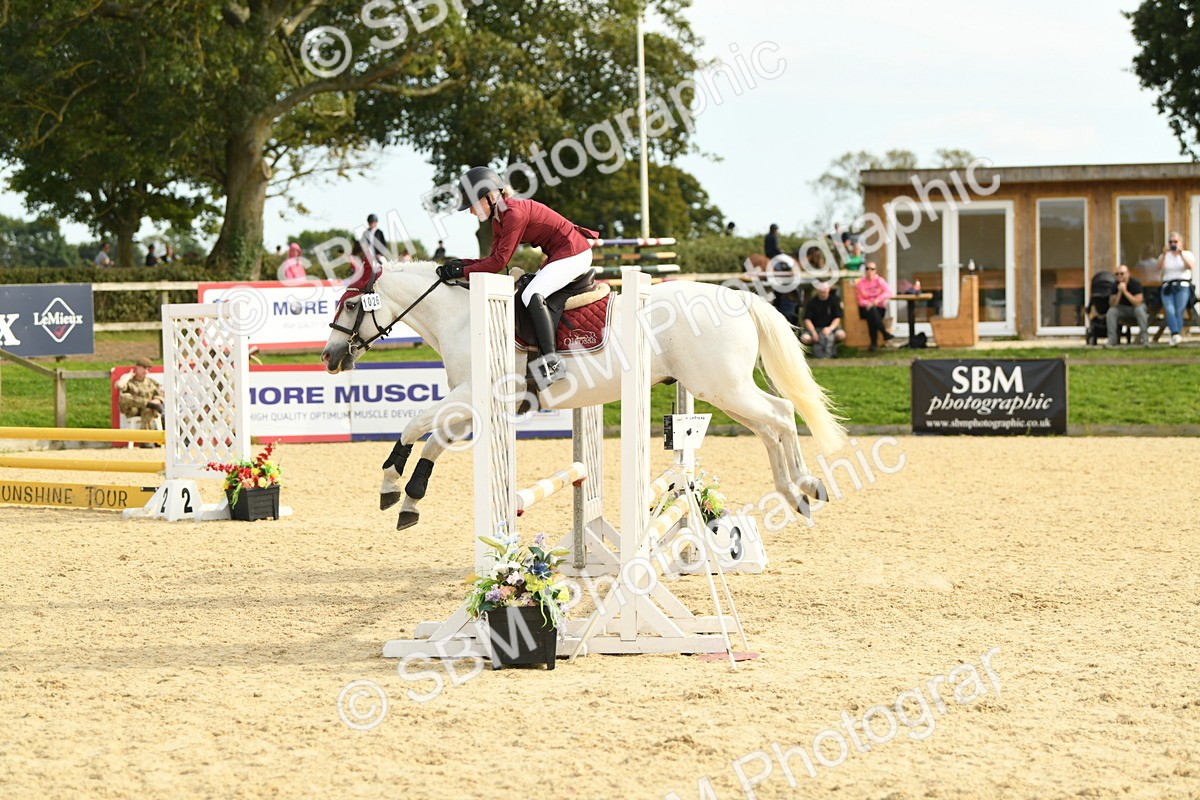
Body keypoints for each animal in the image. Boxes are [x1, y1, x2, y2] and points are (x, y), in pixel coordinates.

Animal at [321, 261, 846, 530]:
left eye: (349, 304)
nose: (329, 357)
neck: (463, 318)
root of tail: (738, 296)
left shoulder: (473, 395)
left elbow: (413, 426)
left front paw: (391, 486)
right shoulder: (472, 405)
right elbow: (433, 440)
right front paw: (410, 500)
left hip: (721, 386)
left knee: (781, 414)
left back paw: (804, 487)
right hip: (722, 389)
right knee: (771, 424)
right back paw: (798, 494)